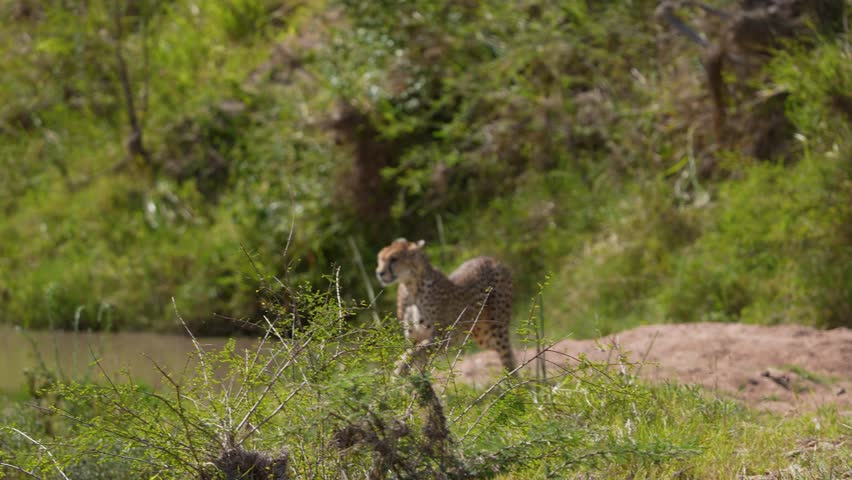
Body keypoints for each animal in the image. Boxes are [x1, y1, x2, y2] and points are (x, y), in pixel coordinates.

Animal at [375, 238, 516, 375]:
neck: (411, 288)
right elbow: (416, 357)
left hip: (495, 330)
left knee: (507, 356)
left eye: (394, 259)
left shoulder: (443, 336)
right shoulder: (414, 338)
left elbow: (416, 351)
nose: (379, 273)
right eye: (380, 259)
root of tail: (493, 260)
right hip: (482, 334)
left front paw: (399, 367)